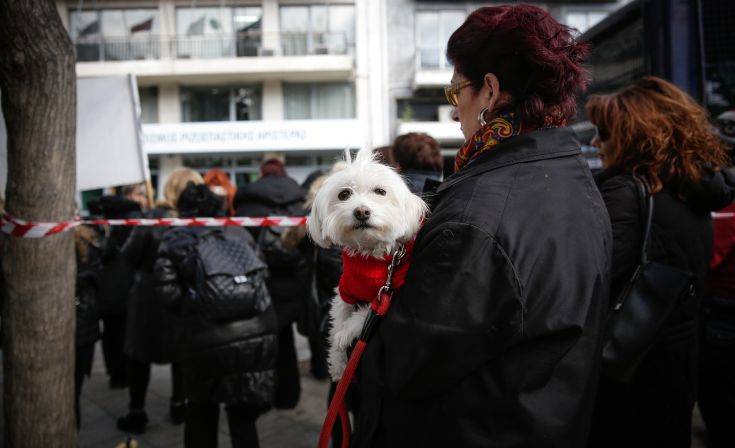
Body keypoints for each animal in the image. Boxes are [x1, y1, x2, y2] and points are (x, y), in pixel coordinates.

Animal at [308, 149, 428, 380]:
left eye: (380, 191)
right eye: (344, 195)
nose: (361, 211)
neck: (370, 256)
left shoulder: (390, 294)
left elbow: (364, 314)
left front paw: (345, 334)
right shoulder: (345, 291)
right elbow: (337, 320)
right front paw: (337, 363)